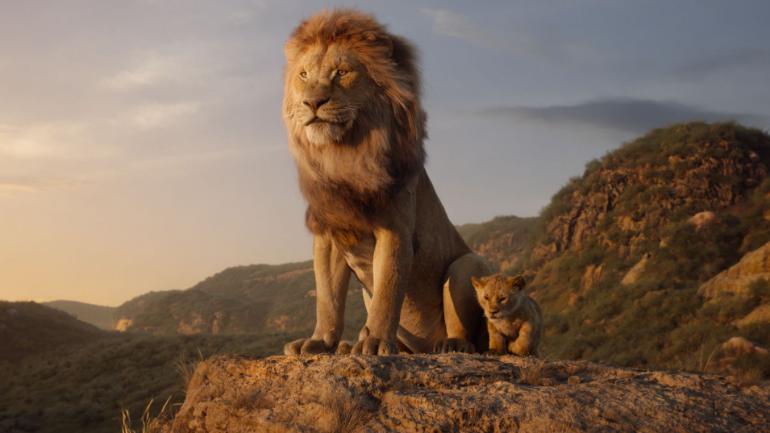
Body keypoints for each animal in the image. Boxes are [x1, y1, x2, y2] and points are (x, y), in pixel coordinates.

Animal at [281, 9, 493, 355]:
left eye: (341, 72)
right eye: (303, 75)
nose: (312, 102)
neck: (344, 155)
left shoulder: (394, 228)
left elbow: (388, 290)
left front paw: (376, 341)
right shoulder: (329, 233)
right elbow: (327, 298)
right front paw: (320, 341)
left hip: (467, 264)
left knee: (468, 332)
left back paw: (451, 345)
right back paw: (350, 346)